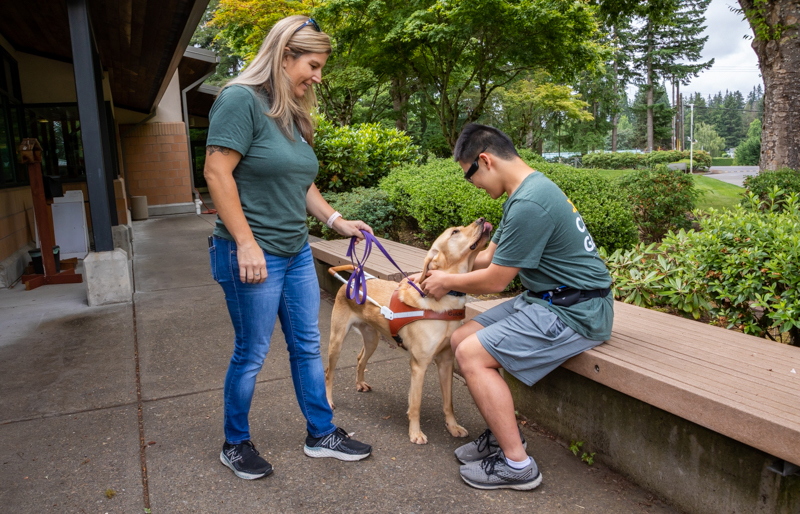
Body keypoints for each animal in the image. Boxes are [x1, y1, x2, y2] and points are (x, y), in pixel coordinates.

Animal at [326, 218, 494, 442]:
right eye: (455, 232)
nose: (482, 220)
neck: (444, 300)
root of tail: (355, 278)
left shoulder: (446, 361)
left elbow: (448, 403)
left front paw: (453, 427)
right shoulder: (419, 365)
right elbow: (415, 404)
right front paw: (415, 432)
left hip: (372, 339)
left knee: (360, 359)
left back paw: (360, 383)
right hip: (336, 341)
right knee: (328, 372)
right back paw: (328, 401)